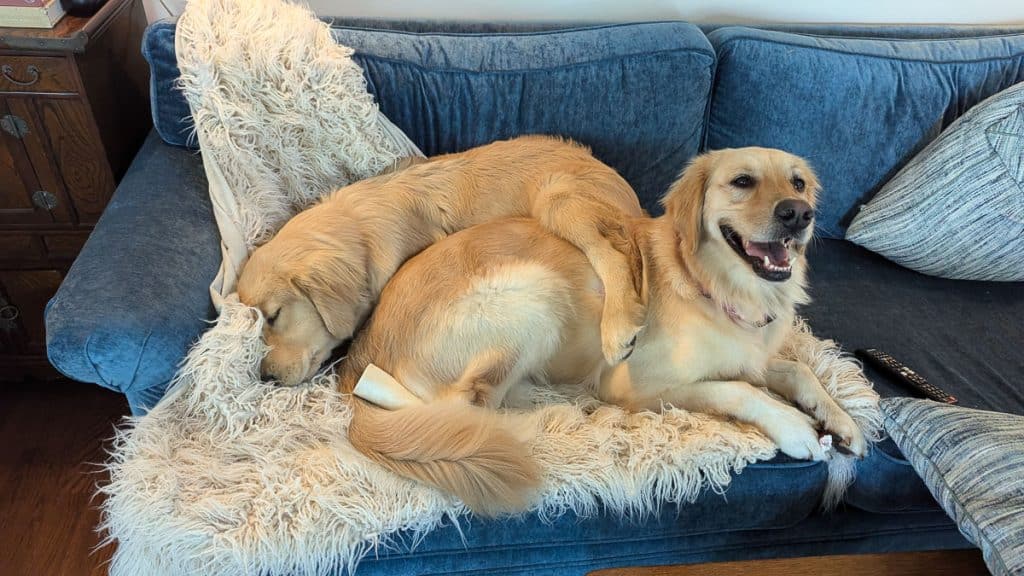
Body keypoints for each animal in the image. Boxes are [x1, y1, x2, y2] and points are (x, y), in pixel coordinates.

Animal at [342, 145, 864, 512]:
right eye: (742, 181)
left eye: (798, 182)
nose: (798, 213)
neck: (714, 285)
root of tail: (360, 356)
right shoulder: (633, 383)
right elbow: (738, 389)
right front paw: (796, 426)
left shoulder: (752, 355)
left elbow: (796, 369)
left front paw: (841, 420)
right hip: (534, 291)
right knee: (466, 408)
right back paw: (554, 418)